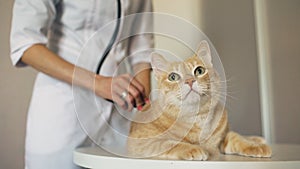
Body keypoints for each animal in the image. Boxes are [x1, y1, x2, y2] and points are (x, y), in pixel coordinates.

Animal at [126, 40, 272, 160]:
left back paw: (258, 140)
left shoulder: (223, 138)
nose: (190, 81)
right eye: (173, 77)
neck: (199, 117)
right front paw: (194, 149)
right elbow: (171, 143)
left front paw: (255, 146)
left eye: (199, 70)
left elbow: (237, 138)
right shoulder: (142, 143)